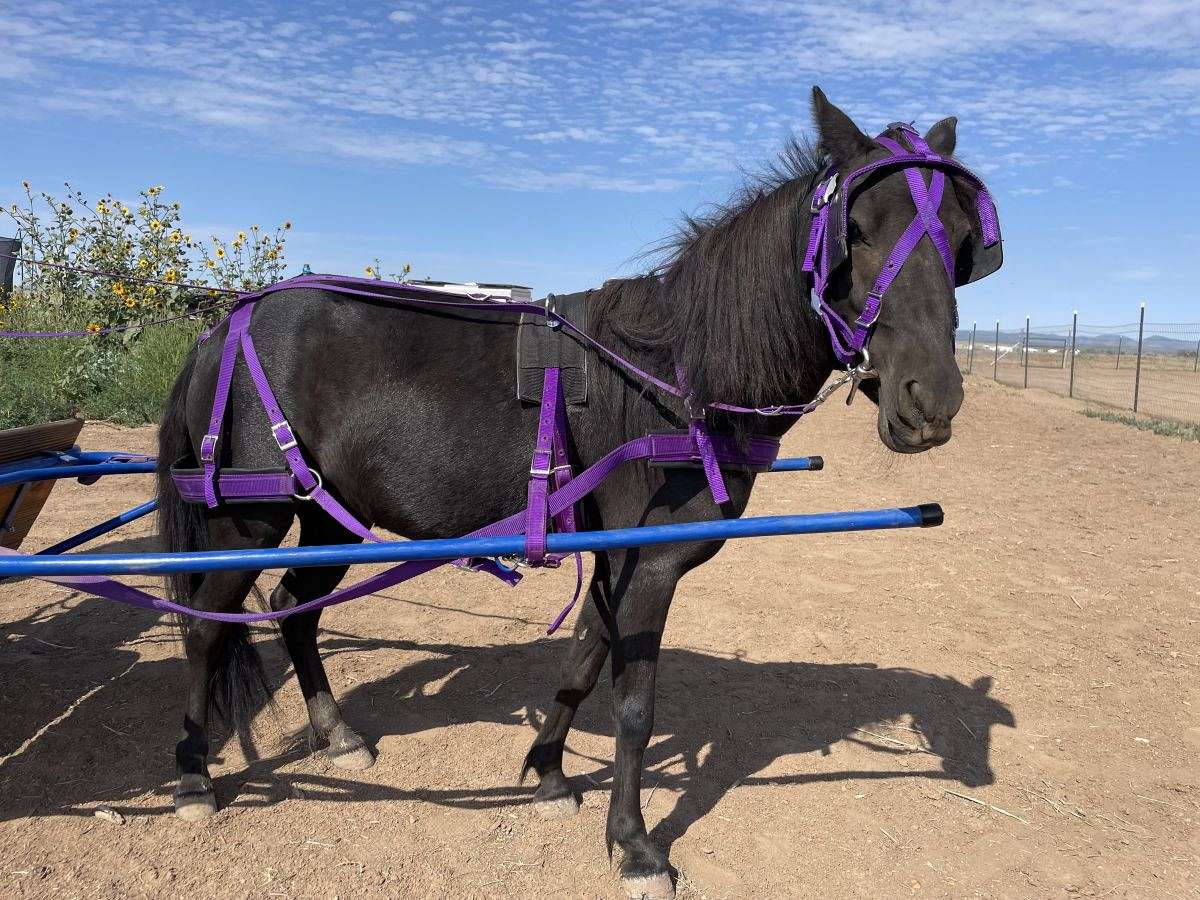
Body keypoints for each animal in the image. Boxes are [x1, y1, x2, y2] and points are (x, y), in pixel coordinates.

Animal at [155, 88, 992, 899]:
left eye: (959, 236)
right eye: (857, 230)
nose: (931, 399)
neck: (678, 377)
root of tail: (222, 324)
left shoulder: (615, 553)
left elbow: (584, 660)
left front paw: (549, 773)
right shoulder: (650, 563)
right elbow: (633, 707)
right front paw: (636, 845)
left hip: (330, 511)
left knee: (293, 606)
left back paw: (338, 734)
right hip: (251, 517)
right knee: (204, 626)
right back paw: (193, 776)